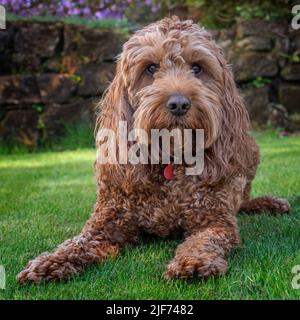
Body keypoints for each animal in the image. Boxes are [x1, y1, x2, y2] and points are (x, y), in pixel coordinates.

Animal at [17, 16, 290, 284]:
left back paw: (268, 203)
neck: (169, 159)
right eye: (150, 68)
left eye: (197, 68)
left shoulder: (215, 221)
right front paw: (49, 262)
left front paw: (193, 262)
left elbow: (203, 240)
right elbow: (76, 243)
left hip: (249, 157)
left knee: (242, 199)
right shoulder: (105, 223)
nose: (179, 104)